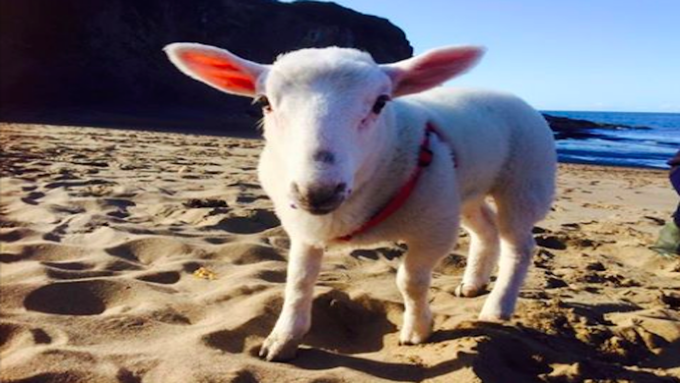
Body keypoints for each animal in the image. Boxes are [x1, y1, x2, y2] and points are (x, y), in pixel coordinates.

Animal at [166, 42, 556, 364]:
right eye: (264, 103)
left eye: (381, 102)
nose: (317, 192)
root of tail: (510, 95)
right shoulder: (303, 230)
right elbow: (298, 282)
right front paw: (283, 340)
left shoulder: (433, 229)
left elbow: (410, 280)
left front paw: (418, 330)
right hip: (465, 190)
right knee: (485, 231)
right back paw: (473, 283)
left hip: (524, 182)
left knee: (519, 246)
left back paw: (498, 306)